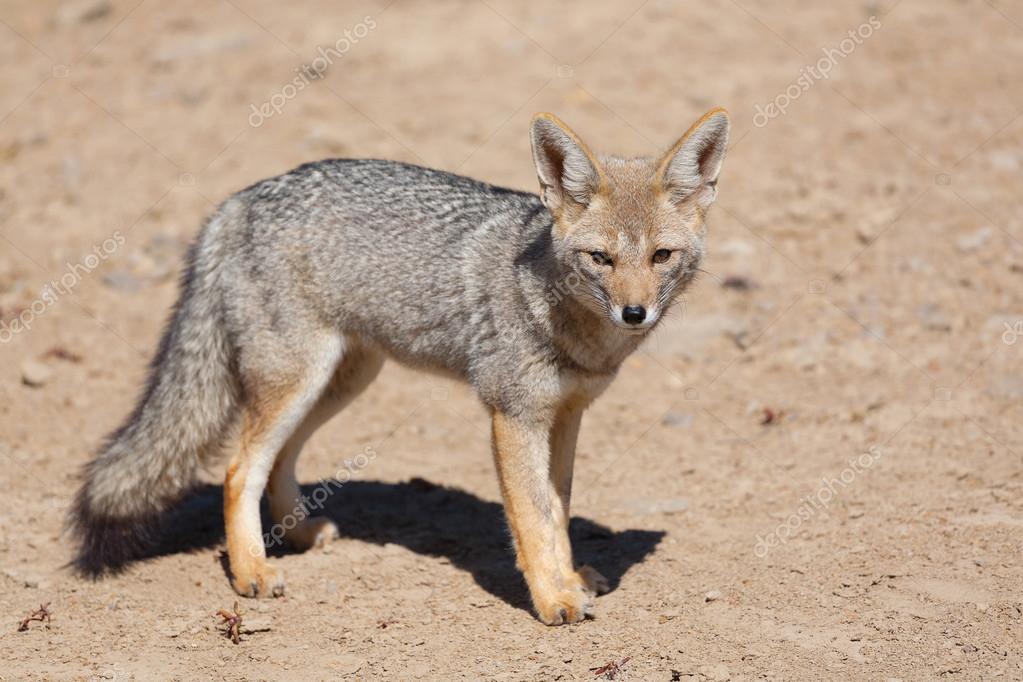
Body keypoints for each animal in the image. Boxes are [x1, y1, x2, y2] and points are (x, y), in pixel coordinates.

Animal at [70, 108, 730, 625]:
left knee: (280, 458)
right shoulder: (512, 416)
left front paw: (569, 578)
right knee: (238, 471)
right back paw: (252, 570)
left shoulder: (565, 416)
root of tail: (239, 200)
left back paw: (296, 535)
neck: (564, 318)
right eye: (600, 258)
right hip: (297, 381)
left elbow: (558, 512)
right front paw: (553, 599)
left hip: (341, 382)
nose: (634, 313)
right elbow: (532, 518)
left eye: (661, 256)